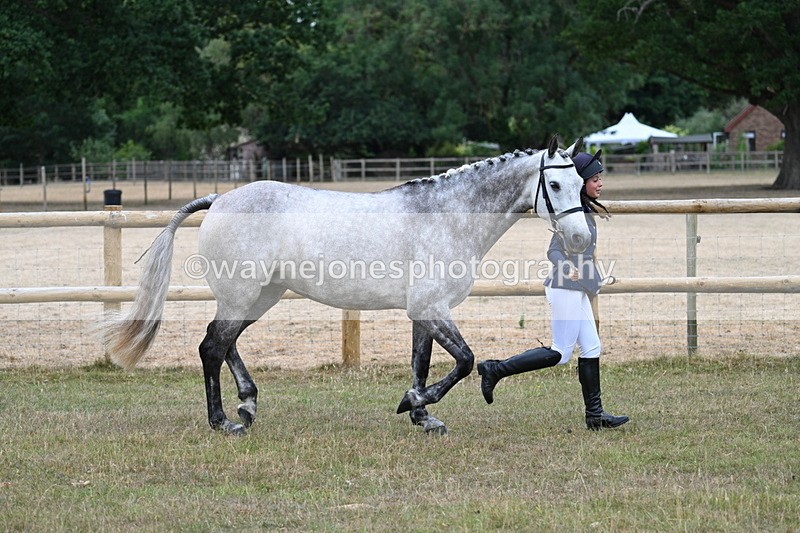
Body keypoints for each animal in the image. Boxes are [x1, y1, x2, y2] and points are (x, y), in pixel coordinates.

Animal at [103, 136, 591, 436]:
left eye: (582, 183)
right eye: (554, 183)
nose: (580, 239)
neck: (445, 216)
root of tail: (220, 198)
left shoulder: (424, 311)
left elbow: (422, 362)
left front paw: (422, 415)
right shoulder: (433, 308)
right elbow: (466, 361)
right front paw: (414, 404)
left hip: (260, 296)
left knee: (224, 344)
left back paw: (248, 404)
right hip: (242, 294)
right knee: (211, 347)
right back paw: (224, 421)